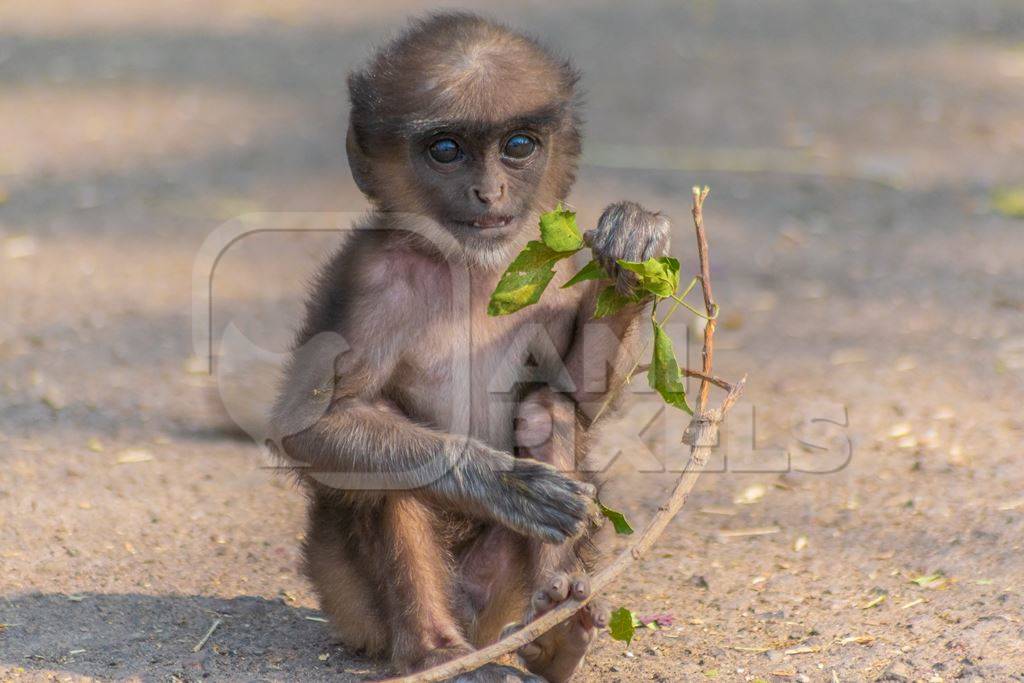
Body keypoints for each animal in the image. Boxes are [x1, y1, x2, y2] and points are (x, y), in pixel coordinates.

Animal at [270, 12, 671, 683]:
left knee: (545, 408)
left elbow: (576, 396)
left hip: (499, 597)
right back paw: (435, 650)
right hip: (347, 599)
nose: (489, 193)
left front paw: (633, 258)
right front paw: (507, 485)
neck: (468, 267)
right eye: (446, 150)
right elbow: (309, 427)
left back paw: (557, 631)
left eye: (518, 145)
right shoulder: (370, 277)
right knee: (389, 469)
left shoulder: (551, 265)